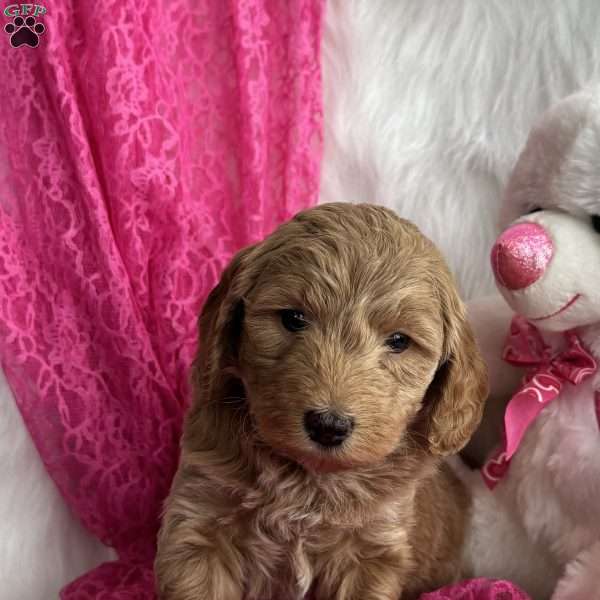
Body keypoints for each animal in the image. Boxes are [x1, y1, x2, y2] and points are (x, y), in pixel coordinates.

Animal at [155, 203, 488, 600]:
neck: (308, 480)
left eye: (399, 341)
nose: (328, 426)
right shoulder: (200, 525)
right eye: (294, 318)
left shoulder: (370, 553)